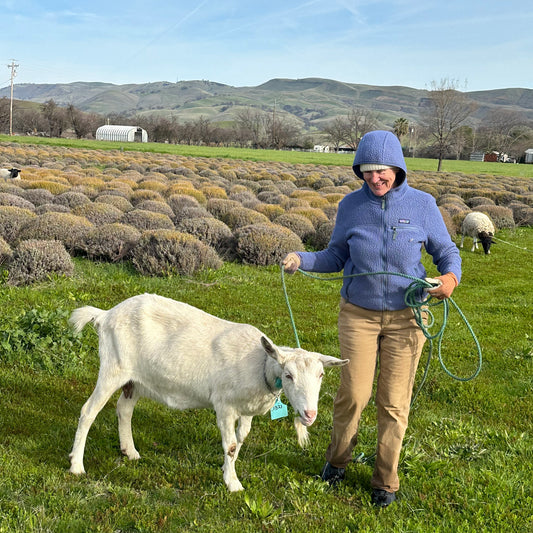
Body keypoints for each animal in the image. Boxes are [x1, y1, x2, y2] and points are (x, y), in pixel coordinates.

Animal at [67, 294, 350, 492]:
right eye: (289, 375)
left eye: (321, 375)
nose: (310, 414)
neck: (259, 364)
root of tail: (105, 315)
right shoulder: (224, 405)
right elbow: (231, 445)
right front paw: (233, 484)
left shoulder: (246, 409)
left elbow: (241, 439)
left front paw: (228, 470)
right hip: (113, 367)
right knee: (88, 411)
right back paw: (76, 466)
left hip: (135, 379)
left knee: (124, 409)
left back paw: (130, 451)